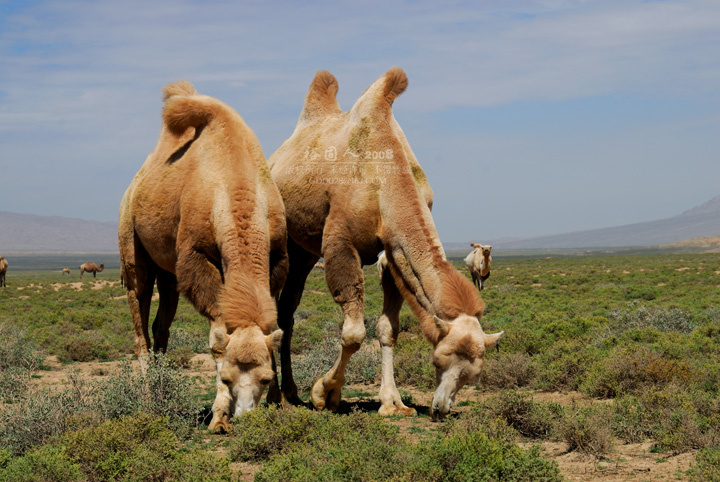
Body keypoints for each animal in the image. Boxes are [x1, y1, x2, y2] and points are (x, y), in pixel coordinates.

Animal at [118, 80, 286, 434]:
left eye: (265, 378)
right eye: (227, 377)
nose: (245, 416)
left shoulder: (278, 257)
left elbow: (274, 328)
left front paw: (280, 403)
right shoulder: (196, 258)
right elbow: (216, 334)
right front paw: (219, 416)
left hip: (169, 273)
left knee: (161, 327)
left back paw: (163, 387)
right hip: (132, 247)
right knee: (140, 323)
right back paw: (148, 398)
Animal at [268, 68, 504, 422]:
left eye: (472, 375)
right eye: (439, 359)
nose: (441, 408)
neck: (384, 180)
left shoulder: (393, 252)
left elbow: (387, 328)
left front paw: (392, 402)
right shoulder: (340, 242)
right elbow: (354, 333)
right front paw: (324, 393)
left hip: (304, 252)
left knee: (287, 313)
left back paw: (289, 392)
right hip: (278, 237)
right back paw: (274, 395)